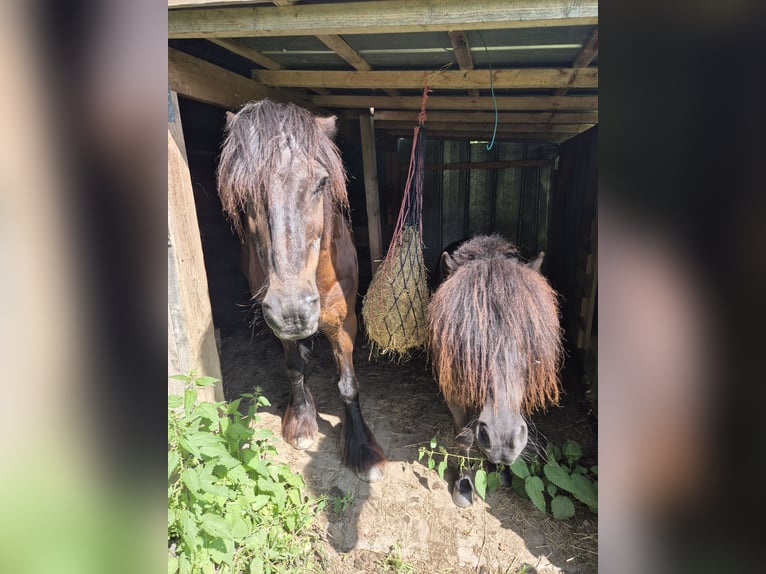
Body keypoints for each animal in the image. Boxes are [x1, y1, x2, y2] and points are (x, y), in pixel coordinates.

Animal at [216, 99, 384, 482]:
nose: (292, 310)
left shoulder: (343, 320)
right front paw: (302, 422)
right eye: (244, 192)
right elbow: (294, 367)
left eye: (321, 183)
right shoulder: (279, 324)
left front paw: (362, 448)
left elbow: (348, 384)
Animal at [428, 236, 560, 506]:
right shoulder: (454, 395)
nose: (503, 440)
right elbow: (464, 437)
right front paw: (464, 485)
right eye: (467, 341)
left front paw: (502, 471)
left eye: (527, 336)